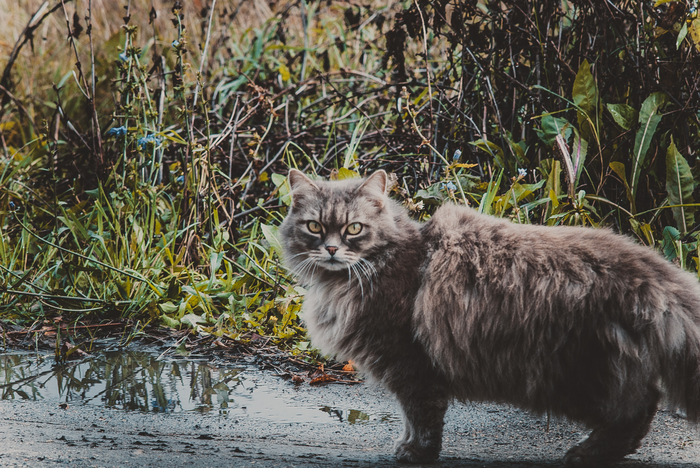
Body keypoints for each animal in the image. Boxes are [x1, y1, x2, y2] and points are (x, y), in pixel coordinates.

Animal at [278, 170, 700, 466]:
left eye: (354, 229)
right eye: (314, 227)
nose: (332, 250)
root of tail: (652, 270)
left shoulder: (409, 363)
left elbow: (420, 416)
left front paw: (416, 452)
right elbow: (414, 417)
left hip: (574, 373)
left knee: (635, 409)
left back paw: (586, 453)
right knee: (643, 405)